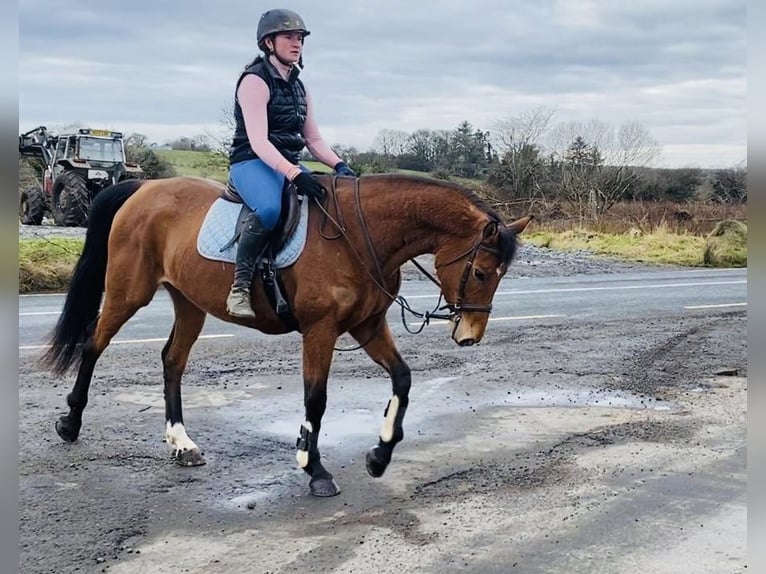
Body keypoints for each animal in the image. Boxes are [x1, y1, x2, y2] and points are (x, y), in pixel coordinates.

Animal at [42, 176, 532, 500]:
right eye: (482, 272)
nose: (470, 337)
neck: (360, 234)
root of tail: (144, 187)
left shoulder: (368, 326)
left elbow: (404, 380)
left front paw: (379, 455)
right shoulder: (320, 330)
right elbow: (316, 398)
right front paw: (313, 467)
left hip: (190, 303)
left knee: (172, 361)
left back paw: (182, 443)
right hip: (129, 292)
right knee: (93, 345)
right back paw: (70, 422)